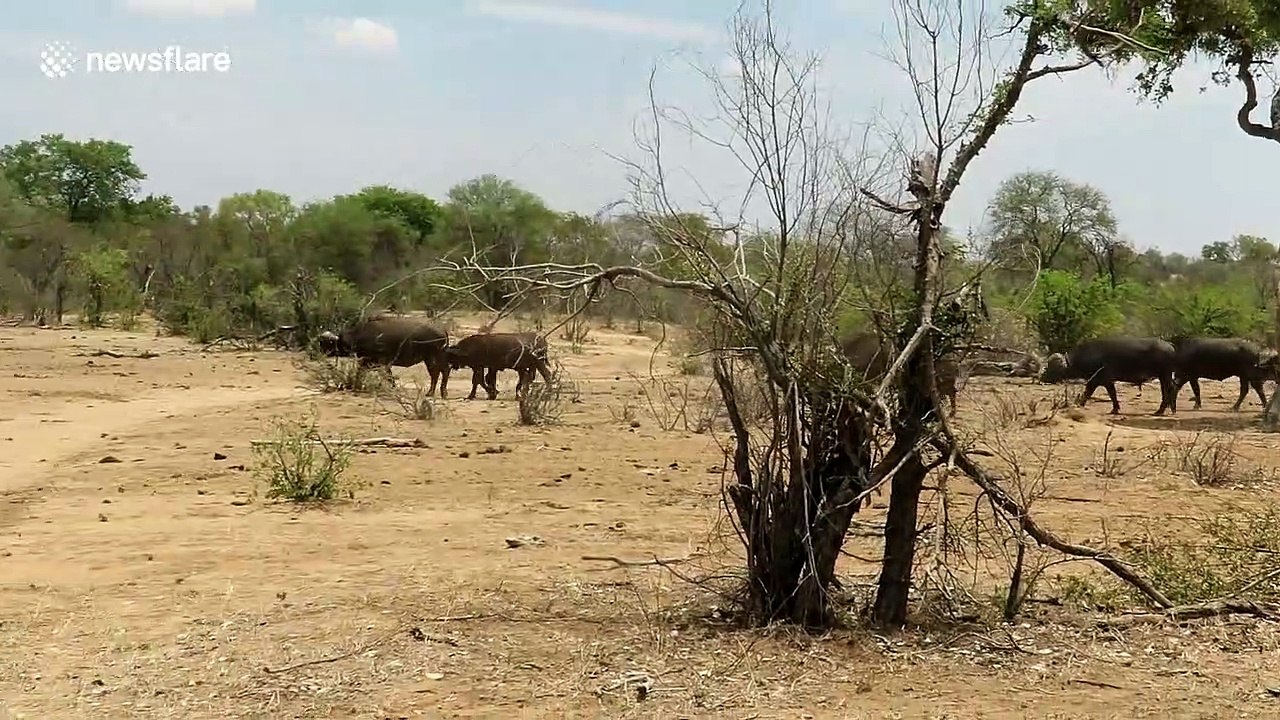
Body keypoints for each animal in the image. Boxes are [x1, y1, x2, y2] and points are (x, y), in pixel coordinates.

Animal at [316, 315, 451, 397]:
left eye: (326, 343)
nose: (319, 353)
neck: (359, 335)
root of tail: (442, 330)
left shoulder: (382, 362)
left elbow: (388, 376)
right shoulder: (369, 362)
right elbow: (360, 373)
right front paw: (356, 386)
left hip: (431, 357)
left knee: (437, 372)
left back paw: (432, 392)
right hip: (434, 358)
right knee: (443, 371)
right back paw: (441, 392)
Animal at [1040, 336, 1176, 415]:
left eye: (1053, 368)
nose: (1042, 377)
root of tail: (1170, 346)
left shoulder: (1103, 380)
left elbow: (1108, 394)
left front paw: (1114, 409)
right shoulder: (1097, 381)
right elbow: (1090, 393)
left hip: (1165, 375)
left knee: (1169, 390)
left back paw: (1161, 411)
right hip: (1164, 376)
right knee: (1169, 390)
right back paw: (1168, 409)